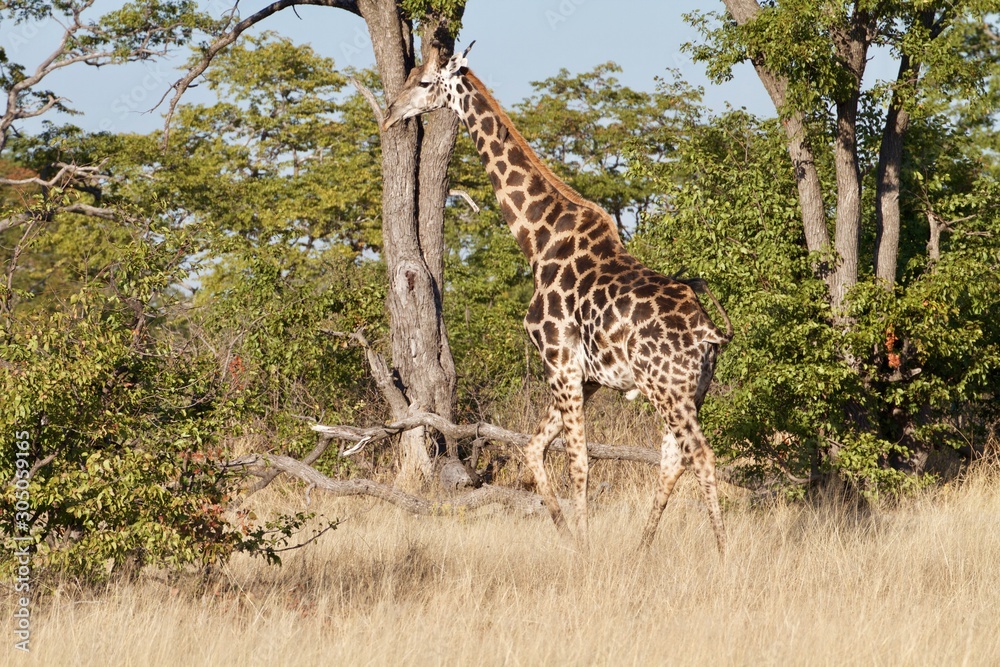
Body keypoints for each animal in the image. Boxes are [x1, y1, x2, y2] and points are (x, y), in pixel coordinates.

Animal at [383, 45, 732, 554]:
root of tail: (708, 333)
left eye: (425, 82)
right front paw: (569, 536)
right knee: (674, 458)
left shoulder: (559, 361)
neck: (536, 239)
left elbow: (579, 461)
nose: (391, 113)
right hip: (690, 390)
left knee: (701, 455)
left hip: (666, 388)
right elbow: (533, 448)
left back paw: (723, 554)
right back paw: (642, 549)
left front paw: (583, 548)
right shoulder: (584, 377)